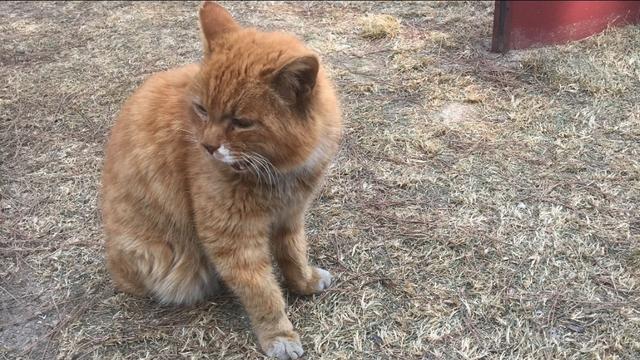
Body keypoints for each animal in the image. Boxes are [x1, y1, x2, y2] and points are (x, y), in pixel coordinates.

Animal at [100, 2, 340, 358]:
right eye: (202, 110)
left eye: (241, 122)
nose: (207, 146)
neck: (278, 169)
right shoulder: (232, 238)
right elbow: (262, 292)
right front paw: (279, 335)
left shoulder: (291, 215)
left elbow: (293, 253)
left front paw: (304, 282)